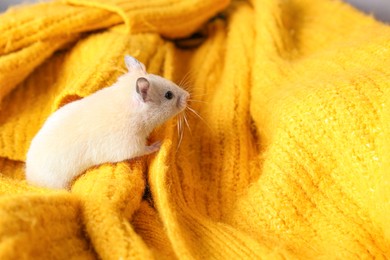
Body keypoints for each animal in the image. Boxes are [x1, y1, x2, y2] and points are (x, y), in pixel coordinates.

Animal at [25, 54, 190, 189]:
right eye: (168, 95)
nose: (188, 96)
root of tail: (29, 178)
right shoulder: (129, 145)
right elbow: (143, 149)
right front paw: (157, 145)